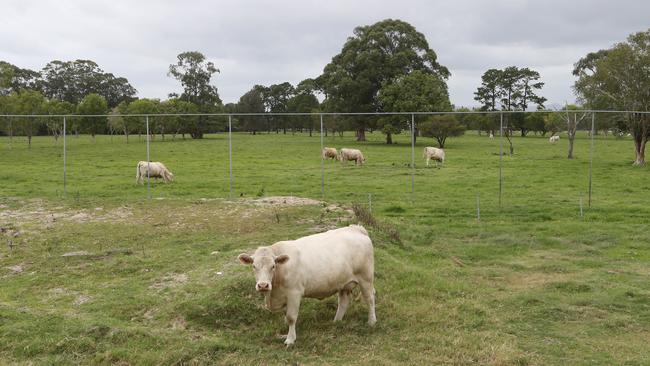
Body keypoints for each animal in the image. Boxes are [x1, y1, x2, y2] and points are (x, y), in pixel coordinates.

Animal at [237, 223, 374, 346]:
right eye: (254, 266)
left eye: (273, 266)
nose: (263, 285)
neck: (274, 292)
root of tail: (356, 229)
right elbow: (286, 316)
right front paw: (285, 333)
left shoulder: (294, 293)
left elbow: (291, 317)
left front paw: (290, 339)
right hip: (343, 283)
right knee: (344, 301)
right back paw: (336, 321)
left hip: (366, 278)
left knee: (370, 298)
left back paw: (371, 321)